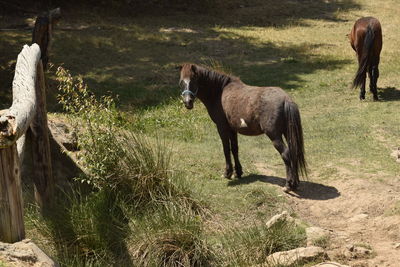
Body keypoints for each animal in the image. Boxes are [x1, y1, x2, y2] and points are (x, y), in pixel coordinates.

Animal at [177, 63, 306, 192]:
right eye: (181, 82)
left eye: (194, 80)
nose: (188, 102)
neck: (220, 92)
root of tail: (286, 99)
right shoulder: (233, 129)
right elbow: (234, 149)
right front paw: (238, 172)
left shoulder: (222, 128)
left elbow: (226, 149)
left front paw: (227, 173)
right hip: (287, 133)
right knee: (293, 153)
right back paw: (295, 183)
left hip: (274, 136)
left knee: (286, 154)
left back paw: (288, 185)